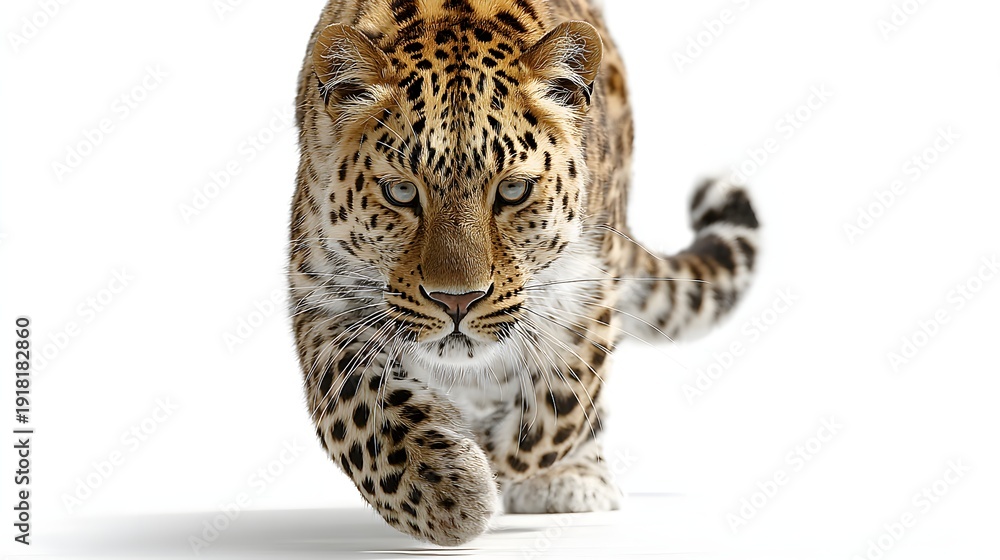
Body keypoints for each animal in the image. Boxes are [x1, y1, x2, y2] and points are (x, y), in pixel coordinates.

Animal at [288, 0, 759, 546]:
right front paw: (447, 493)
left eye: (513, 191)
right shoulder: (322, 300)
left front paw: (492, 464)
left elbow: (559, 413)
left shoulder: (587, 297)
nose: (457, 300)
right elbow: (355, 411)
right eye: (401, 192)